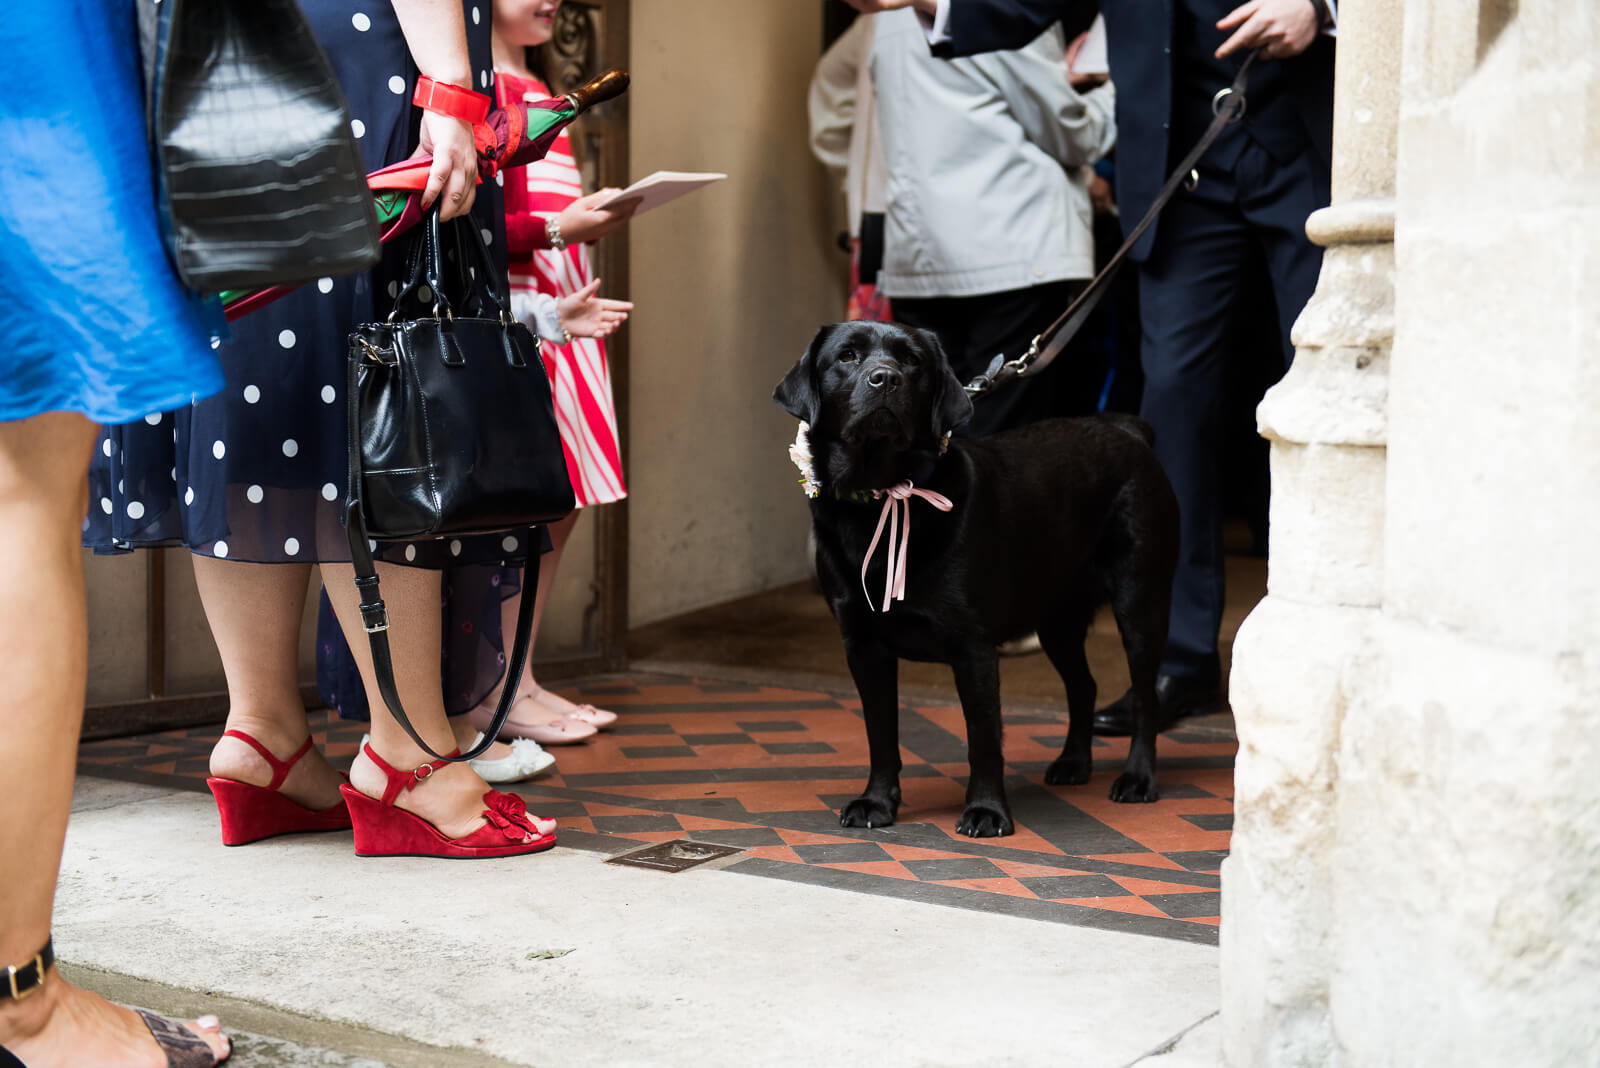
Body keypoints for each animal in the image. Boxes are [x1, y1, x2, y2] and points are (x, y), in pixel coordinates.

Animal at [780, 321, 1184, 837]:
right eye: (847, 356)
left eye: (912, 361)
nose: (885, 379)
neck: (884, 497)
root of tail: (1126, 430)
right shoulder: (863, 647)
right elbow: (881, 734)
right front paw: (877, 802)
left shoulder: (972, 648)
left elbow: (983, 737)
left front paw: (987, 811)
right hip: (1057, 621)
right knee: (1083, 687)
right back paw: (1074, 762)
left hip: (1141, 602)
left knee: (1144, 698)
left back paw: (1138, 778)